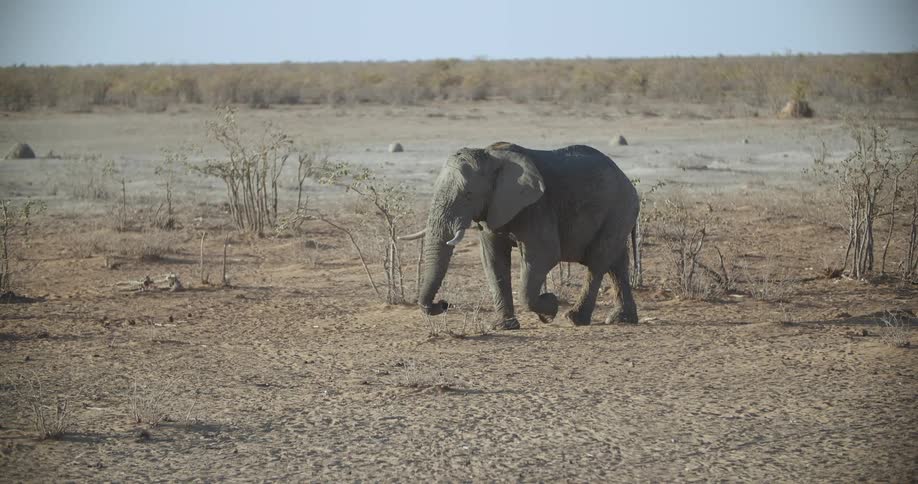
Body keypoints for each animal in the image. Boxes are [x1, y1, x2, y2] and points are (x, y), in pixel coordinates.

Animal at [401, 142, 639, 329]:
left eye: (468, 195)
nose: (443, 304)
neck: (490, 156)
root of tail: (627, 180)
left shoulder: (537, 206)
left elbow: (544, 256)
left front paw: (549, 308)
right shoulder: (492, 209)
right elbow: (493, 260)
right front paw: (503, 326)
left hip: (619, 209)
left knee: (598, 262)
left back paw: (575, 319)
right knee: (617, 263)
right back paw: (622, 319)